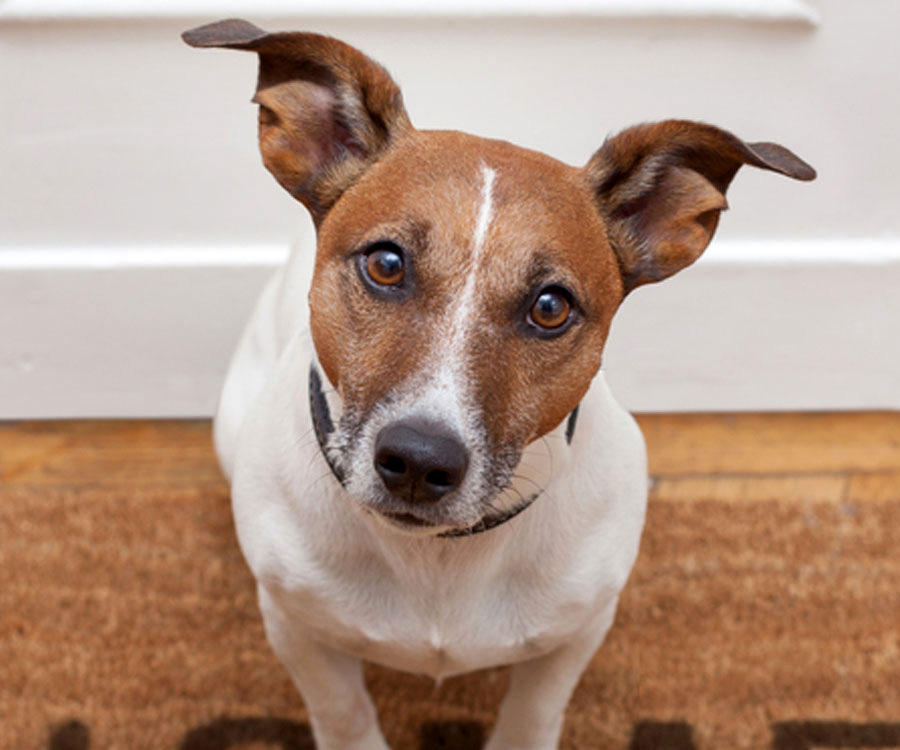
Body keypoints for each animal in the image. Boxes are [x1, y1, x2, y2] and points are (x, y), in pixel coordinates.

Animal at [183, 19, 816, 750]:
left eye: (551, 307)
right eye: (386, 263)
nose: (418, 462)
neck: (439, 557)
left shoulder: (579, 631)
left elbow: (532, 710)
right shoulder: (297, 629)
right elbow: (343, 711)